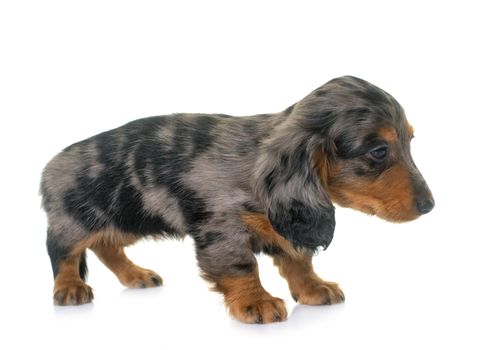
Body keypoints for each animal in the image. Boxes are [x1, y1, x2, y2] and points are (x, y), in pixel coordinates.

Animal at [40, 76, 436, 322]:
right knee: (63, 253)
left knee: (106, 247)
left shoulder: (287, 224)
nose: (430, 205)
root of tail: (51, 165)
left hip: (126, 219)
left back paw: (135, 274)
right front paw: (256, 301)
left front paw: (313, 287)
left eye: (410, 141)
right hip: (76, 221)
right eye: (379, 151)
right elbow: (242, 266)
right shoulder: (222, 228)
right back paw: (70, 287)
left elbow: (298, 261)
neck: (258, 170)